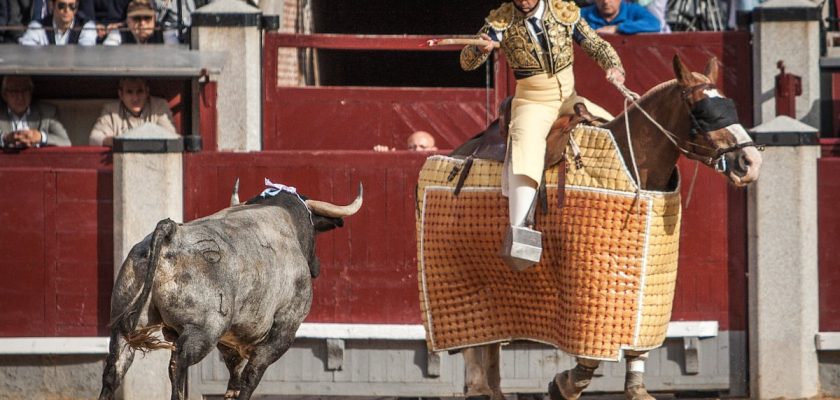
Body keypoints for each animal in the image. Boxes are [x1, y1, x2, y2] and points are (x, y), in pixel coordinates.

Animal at [97, 183, 360, 398]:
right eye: (314, 230)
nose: (316, 267)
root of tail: (172, 233)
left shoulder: (231, 340)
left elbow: (235, 379)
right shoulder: (285, 328)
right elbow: (250, 377)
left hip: (123, 324)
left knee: (114, 369)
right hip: (203, 332)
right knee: (178, 367)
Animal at [442, 54, 764, 400]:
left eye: (731, 106)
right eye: (700, 112)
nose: (750, 162)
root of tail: (458, 151)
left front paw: (636, 388)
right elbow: (590, 352)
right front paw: (564, 385)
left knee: (490, 346)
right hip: (462, 271)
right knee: (472, 343)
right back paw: (479, 387)